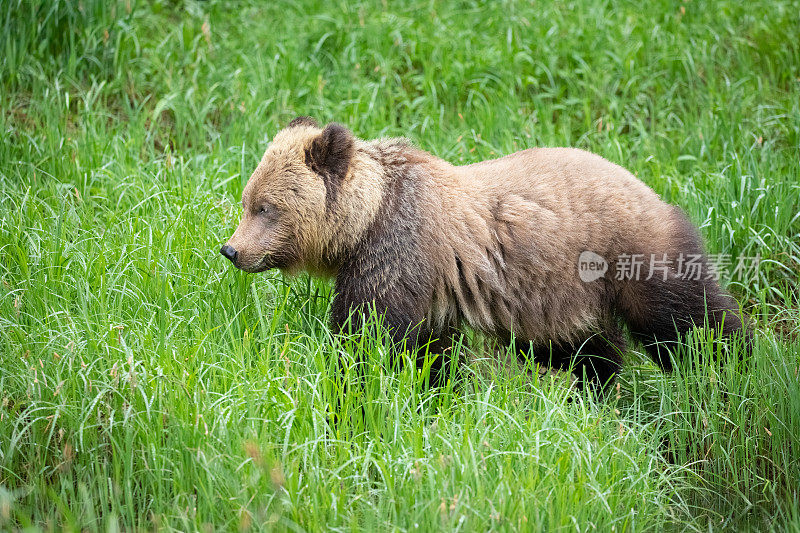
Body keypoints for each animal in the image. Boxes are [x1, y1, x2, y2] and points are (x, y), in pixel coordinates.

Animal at [222, 116, 752, 388]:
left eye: (266, 207)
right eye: (247, 201)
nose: (232, 250)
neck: (364, 219)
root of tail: (651, 190)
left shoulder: (399, 251)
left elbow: (368, 338)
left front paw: (348, 385)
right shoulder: (432, 289)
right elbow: (429, 356)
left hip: (627, 251)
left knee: (687, 321)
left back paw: (733, 370)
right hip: (562, 297)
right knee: (587, 347)